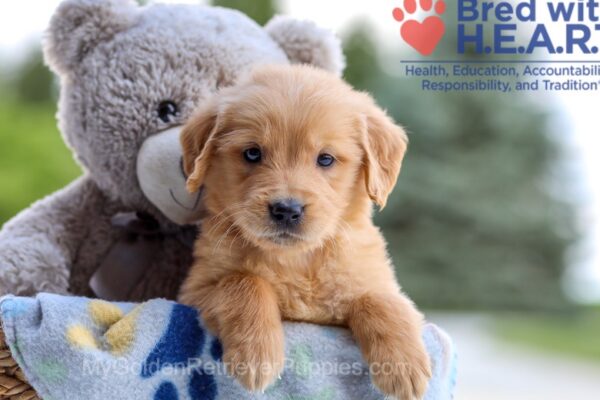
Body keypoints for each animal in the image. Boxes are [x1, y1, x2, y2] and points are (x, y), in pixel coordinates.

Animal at [178, 64, 432, 398]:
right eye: (252, 153)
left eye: (325, 159)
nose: (287, 209)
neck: (296, 260)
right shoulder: (194, 292)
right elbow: (244, 280)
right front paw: (257, 355)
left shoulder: (367, 281)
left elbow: (380, 299)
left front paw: (404, 366)